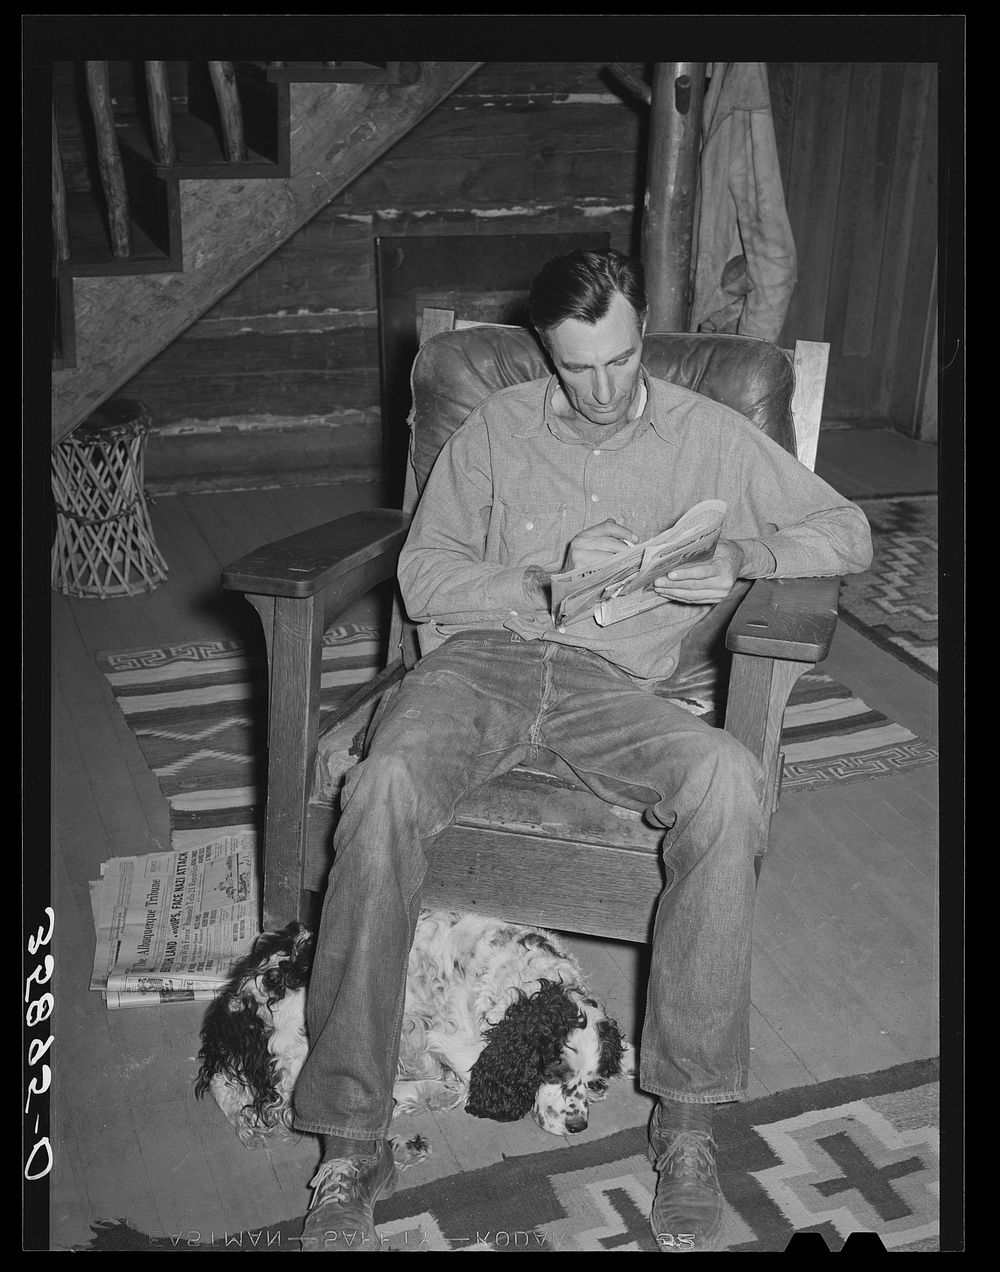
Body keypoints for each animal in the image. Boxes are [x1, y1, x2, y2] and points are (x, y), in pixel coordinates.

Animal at [194, 910, 631, 1149]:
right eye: (553, 1072)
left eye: (590, 1077)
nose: (578, 1126)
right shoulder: (454, 1042)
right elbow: (469, 1078)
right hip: (310, 1032)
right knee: (309, 1098)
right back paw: (428, 1093)